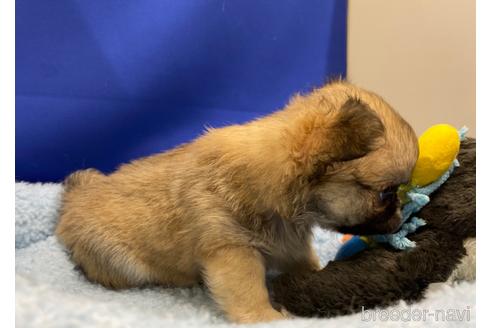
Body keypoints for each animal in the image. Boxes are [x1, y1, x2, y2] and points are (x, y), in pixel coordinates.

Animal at [55, 81, 418, 322]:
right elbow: (249, 292)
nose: (400, 217)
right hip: (119, 263)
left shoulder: (291, 244)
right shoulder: (233, 252)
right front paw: (267, 317)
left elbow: (303, 263)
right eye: (386, 194)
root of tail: (74, 199)